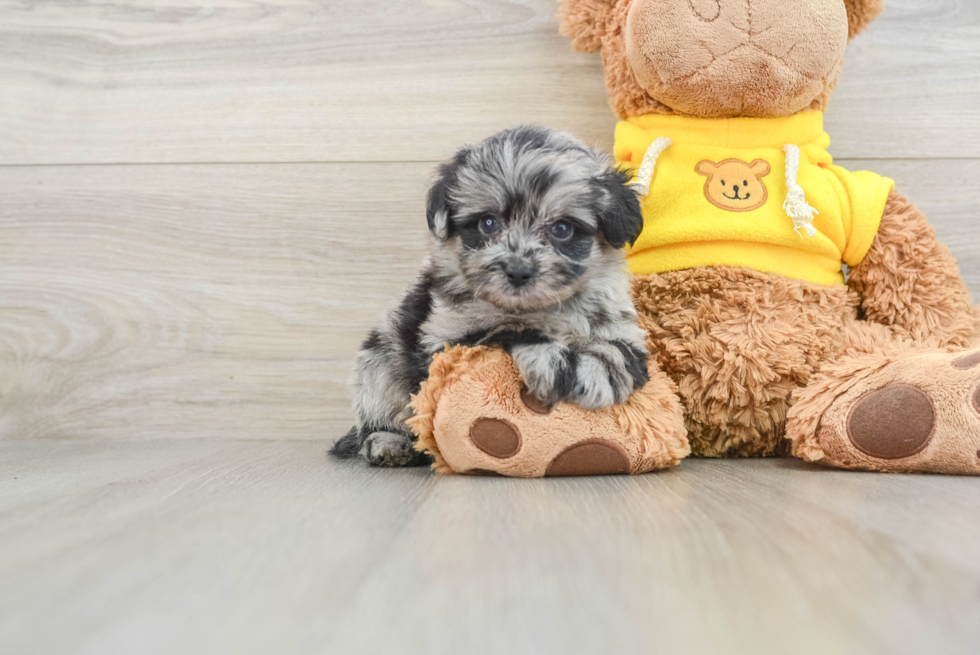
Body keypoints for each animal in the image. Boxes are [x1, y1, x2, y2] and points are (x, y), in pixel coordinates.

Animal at [334, 127, 652, 466]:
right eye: (488, 223)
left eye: (562, 228)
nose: (518, 271)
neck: (543, 308)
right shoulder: (446, 338)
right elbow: (505, 328)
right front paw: (553, 358)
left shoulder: (622, 327)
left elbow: (619, 350)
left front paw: (601, 371)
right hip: (376, 366)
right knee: (377, 418)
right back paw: (389, 443)